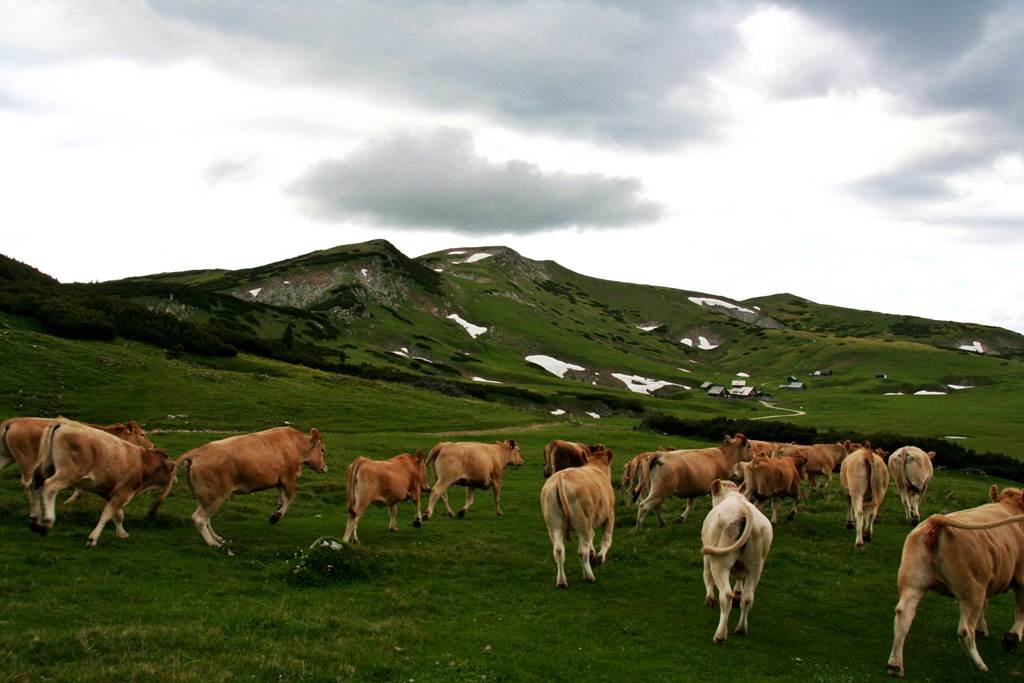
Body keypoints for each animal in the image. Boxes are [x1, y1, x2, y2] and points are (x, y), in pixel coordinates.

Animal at [29, 417, 174, 544]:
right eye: (142, 434)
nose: (152, 445)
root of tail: (62, 422)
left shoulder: (110, 490)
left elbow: (117, 513)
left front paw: (121, 533)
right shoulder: (121, 490)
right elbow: (110, 512)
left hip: (45, 467)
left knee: (35, 485)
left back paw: (35, 519)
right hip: (68, 473)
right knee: (49, 487)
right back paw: (46, 523)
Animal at [149, 423, 325, 548]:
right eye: (323, 449)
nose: (325, 468)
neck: (295, 444)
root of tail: (198, 451)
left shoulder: (280, 480)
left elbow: (282, 498)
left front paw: (277, 510)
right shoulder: (289, 477)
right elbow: (289, 499)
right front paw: (275, 517)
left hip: (206, 495)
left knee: (206, 518)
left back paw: (217, 538)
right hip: (215, 495)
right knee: (199, 518)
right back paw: (213, 543)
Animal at [540, 448, 610, 589]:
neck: (595, 467)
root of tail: (561, 477)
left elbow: (591, 538)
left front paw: (593, 556)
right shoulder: (609, 515)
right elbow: (606, 539)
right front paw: (599, 558)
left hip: (554, 524)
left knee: (559, 550)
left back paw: (561, 581)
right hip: (582, 522)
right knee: (583, 551)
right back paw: (589, 576)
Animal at [700, 479, 770, 643]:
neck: (733, 496)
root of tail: (744, 510)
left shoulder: (707, 550)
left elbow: (706, 574)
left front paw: (710, 598)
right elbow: (739, 580)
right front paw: (738, 591)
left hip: (719, 561)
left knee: (726, 595)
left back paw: (720, 635)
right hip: (756, 566)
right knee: (748, 597)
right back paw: (741, 628)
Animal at [884, 489, 1024, 675]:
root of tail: (935, 521)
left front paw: (982, 628)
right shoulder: (1021, 579)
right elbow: (1020, 611)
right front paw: (1012, 639)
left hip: (913, 583)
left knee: (903, 614)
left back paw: (895, 665)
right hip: (972, 590)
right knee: (965, 630)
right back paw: (980, 665)